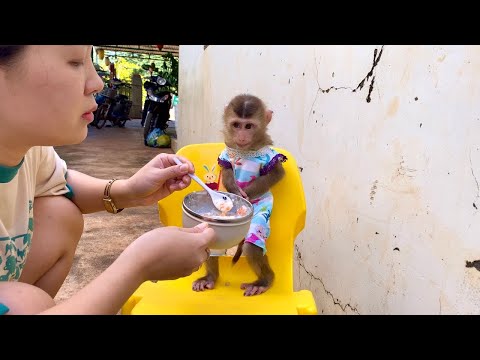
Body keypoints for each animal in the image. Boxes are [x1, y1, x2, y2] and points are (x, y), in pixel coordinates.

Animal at [192, 94, 288, 296]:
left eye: (248, 126)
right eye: (236, 125)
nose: (242, 136)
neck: (246, 150)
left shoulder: (270, 154)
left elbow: (276, 174)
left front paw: (246, 196)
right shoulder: (227, 151)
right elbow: (227, 169)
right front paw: (236, 191)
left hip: (262, 213)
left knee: (251, 244)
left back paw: (264, 281)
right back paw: (210, 278)